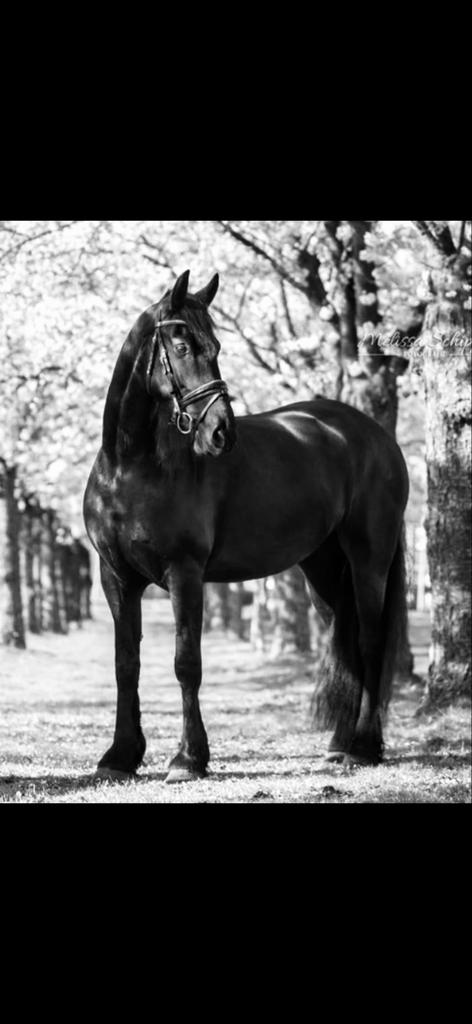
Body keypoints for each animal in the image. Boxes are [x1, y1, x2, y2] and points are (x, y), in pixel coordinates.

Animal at [83, 269, 409, 783]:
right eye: (182, 346)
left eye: (215, 346)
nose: (221, 431)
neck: (132, 468)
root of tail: (375, 436)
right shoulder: (115, 577)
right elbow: (126, 664)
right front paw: (120, 756)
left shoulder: (185, 574)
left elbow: (186, 663)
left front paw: (188, 758)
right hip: (323, 570)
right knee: (348, 646)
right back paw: (339, 746)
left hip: (368, 561)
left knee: (371, 642)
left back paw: (363, 747)